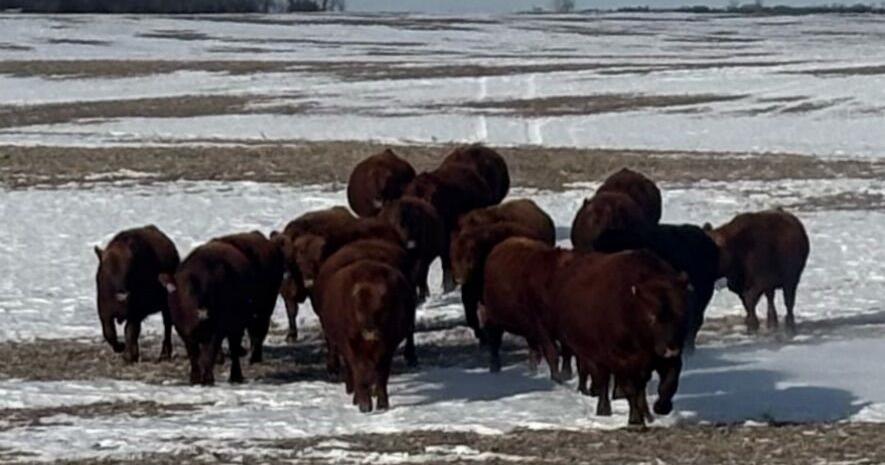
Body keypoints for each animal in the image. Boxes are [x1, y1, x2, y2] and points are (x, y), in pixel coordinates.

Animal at [94, 225, 180, 363]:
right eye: (106, 270)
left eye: (129, 268)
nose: (122, 296)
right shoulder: (105, 313)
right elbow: (109, 333)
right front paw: (122, 348)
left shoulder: (136, 312)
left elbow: (130, 331)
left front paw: (129, 355)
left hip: (166, 305)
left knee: (167, 326)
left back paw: (164, 354)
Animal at [159, 242, 255, 385]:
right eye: (188, 291)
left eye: (212, 289)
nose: (203, 313)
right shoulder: (184, 332)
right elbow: (194, 354)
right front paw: (195, 378)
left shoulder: (217, 330)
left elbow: (209, 355)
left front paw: (208, 378)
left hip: (238, 324)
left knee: (234, 348)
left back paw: (235, 376)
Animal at [275, 206, 357, 342]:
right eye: (298, 261)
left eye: (319, 259)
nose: (309, 282)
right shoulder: (288, 292)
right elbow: (291, 312)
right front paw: (291, 335)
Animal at [318, 260, 417, 413]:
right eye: (358, 308)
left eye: (381, 307)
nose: (370, 330)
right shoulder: (353, 347)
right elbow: (359, 371)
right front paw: (364, 404)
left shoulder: (387, 348)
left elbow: (381, 374)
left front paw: (382, 404)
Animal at [551, 249, 690, 426]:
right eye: (651, 317)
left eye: (682, 313)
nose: (670, 348)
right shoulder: (621, 360)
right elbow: (629, 388)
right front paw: (635, 419)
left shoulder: (667, 359)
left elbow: (669, 383)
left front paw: (661, 407)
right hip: (592, 357)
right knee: (602, 381)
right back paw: (604, 410)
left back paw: (648, 415)